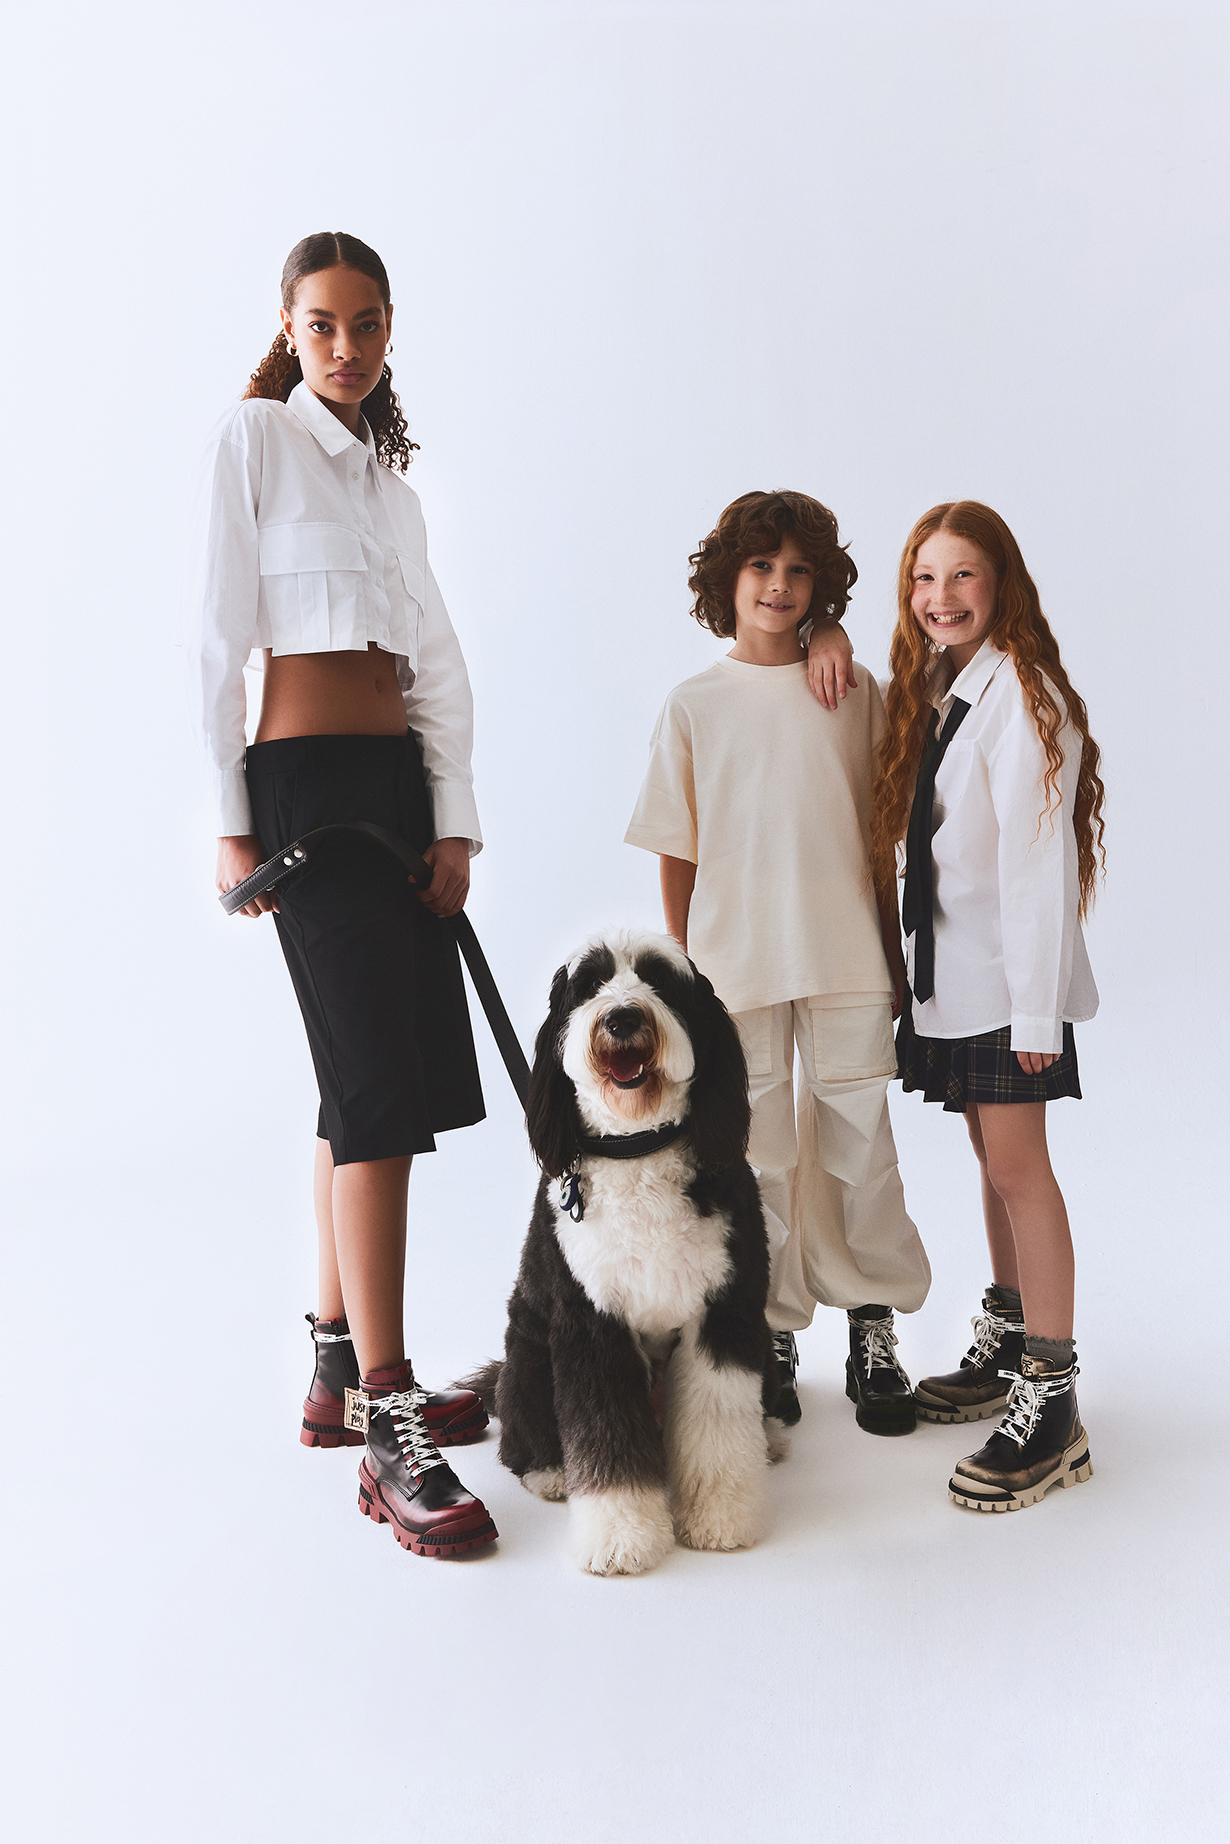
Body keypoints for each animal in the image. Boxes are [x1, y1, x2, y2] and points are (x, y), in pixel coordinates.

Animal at [464, 930, 787, 1576]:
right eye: (589, 985)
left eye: (660, 980)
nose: (622, 1017)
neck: (638, 1148)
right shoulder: (593, 1326)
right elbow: (604, 1436)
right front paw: (621, 1539)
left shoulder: (724, 1316)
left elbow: (716, 1429)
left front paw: (719, 1518)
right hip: (530, 1358)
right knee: (520, 1438)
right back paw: (551, 1473)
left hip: (759, 1343)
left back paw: (769, 1436)